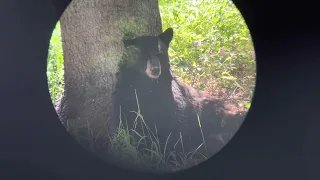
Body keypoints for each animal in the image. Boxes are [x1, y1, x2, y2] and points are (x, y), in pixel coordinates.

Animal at [113, 28, 245, 162]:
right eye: (144, 54)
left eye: (160, 53)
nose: (155, 69)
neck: (151, 85)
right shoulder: (128, 93)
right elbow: (131, 120)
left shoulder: (172, 97)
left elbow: (175, 121)